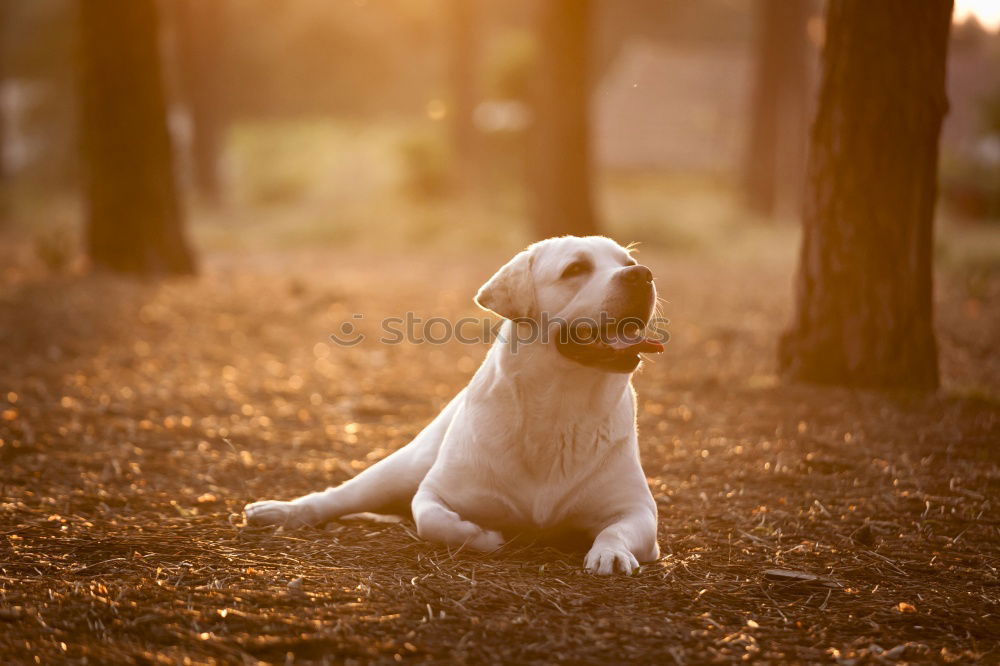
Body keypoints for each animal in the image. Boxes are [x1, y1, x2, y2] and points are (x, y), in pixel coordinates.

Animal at [242, 235, 664, 572]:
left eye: (626, 262)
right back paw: (279, 511)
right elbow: (433, 520)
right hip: (397, 469)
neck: (560, 406)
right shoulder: (434, 492)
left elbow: (616, 531)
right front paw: (485, 536)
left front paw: (609, 553)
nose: (643, 274)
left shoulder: (638, 511)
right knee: (334, 497)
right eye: (576, 268)